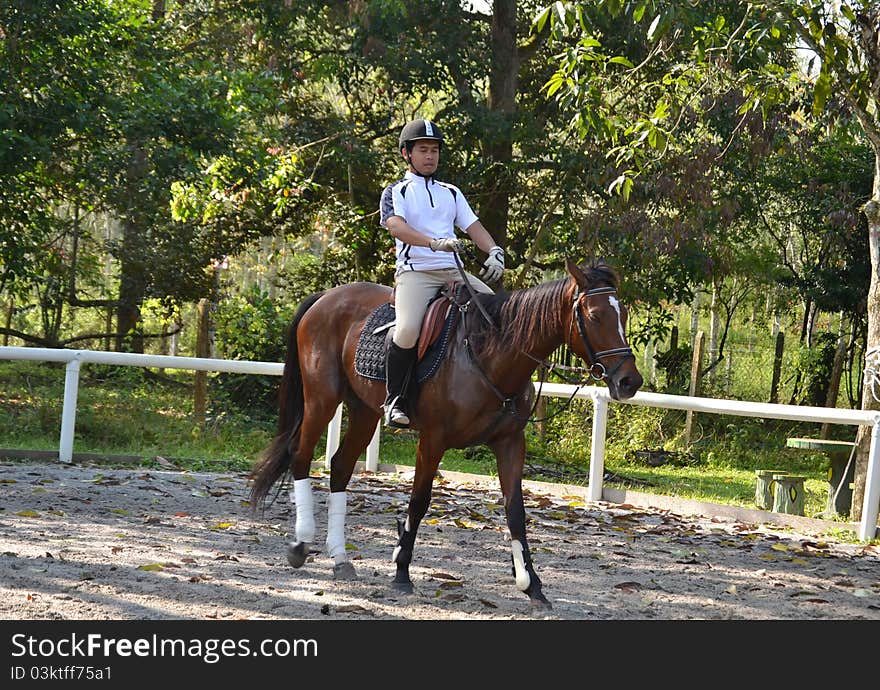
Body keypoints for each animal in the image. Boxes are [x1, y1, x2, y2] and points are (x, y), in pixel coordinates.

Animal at [248, 255, 640, 604]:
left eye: (623, 315)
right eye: (595, 316)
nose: (629, 381)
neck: (490, 353)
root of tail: (326, 297)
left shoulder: (510, 442)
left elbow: (515, 510)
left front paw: (532, 585)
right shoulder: (433, 439)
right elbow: (419, 501)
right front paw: (401, 571)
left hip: (363, 412)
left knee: (341, 467)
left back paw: (341, 559)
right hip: (322, 401)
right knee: (301, 456)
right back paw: (300, 544)